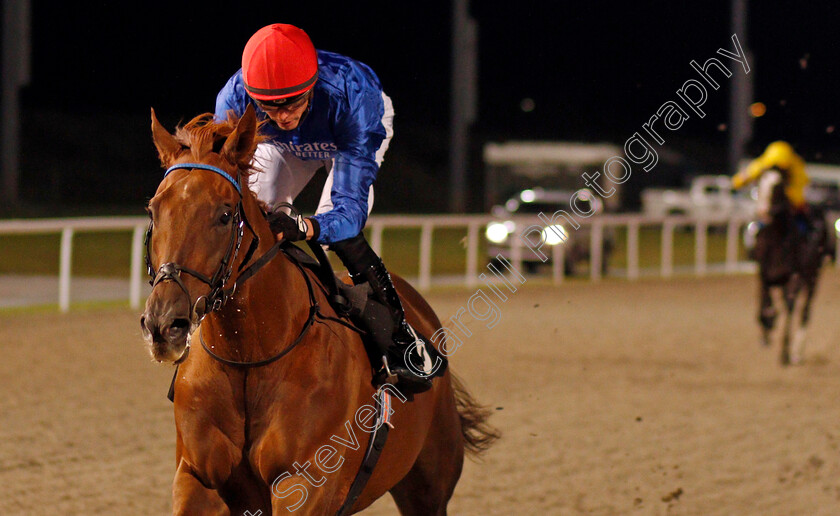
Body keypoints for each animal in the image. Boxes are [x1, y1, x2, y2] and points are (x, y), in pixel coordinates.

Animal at [140, 106, 496, 516]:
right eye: (154, 210)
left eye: (225, 215)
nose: (164, 324)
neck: (248, 357)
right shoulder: (197, 477)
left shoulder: (305, 485)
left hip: (429, 487)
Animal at [752, 169, 832, 362]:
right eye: (759, 183)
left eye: (778, 186)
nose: (763, 212)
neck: (777, 242)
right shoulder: (764, 275)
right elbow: (763, 305)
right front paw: (768, 326)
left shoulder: (794, 278)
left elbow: (789, 306)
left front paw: (785, 353)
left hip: (813, 277)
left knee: (805, 311)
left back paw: (797, 351)